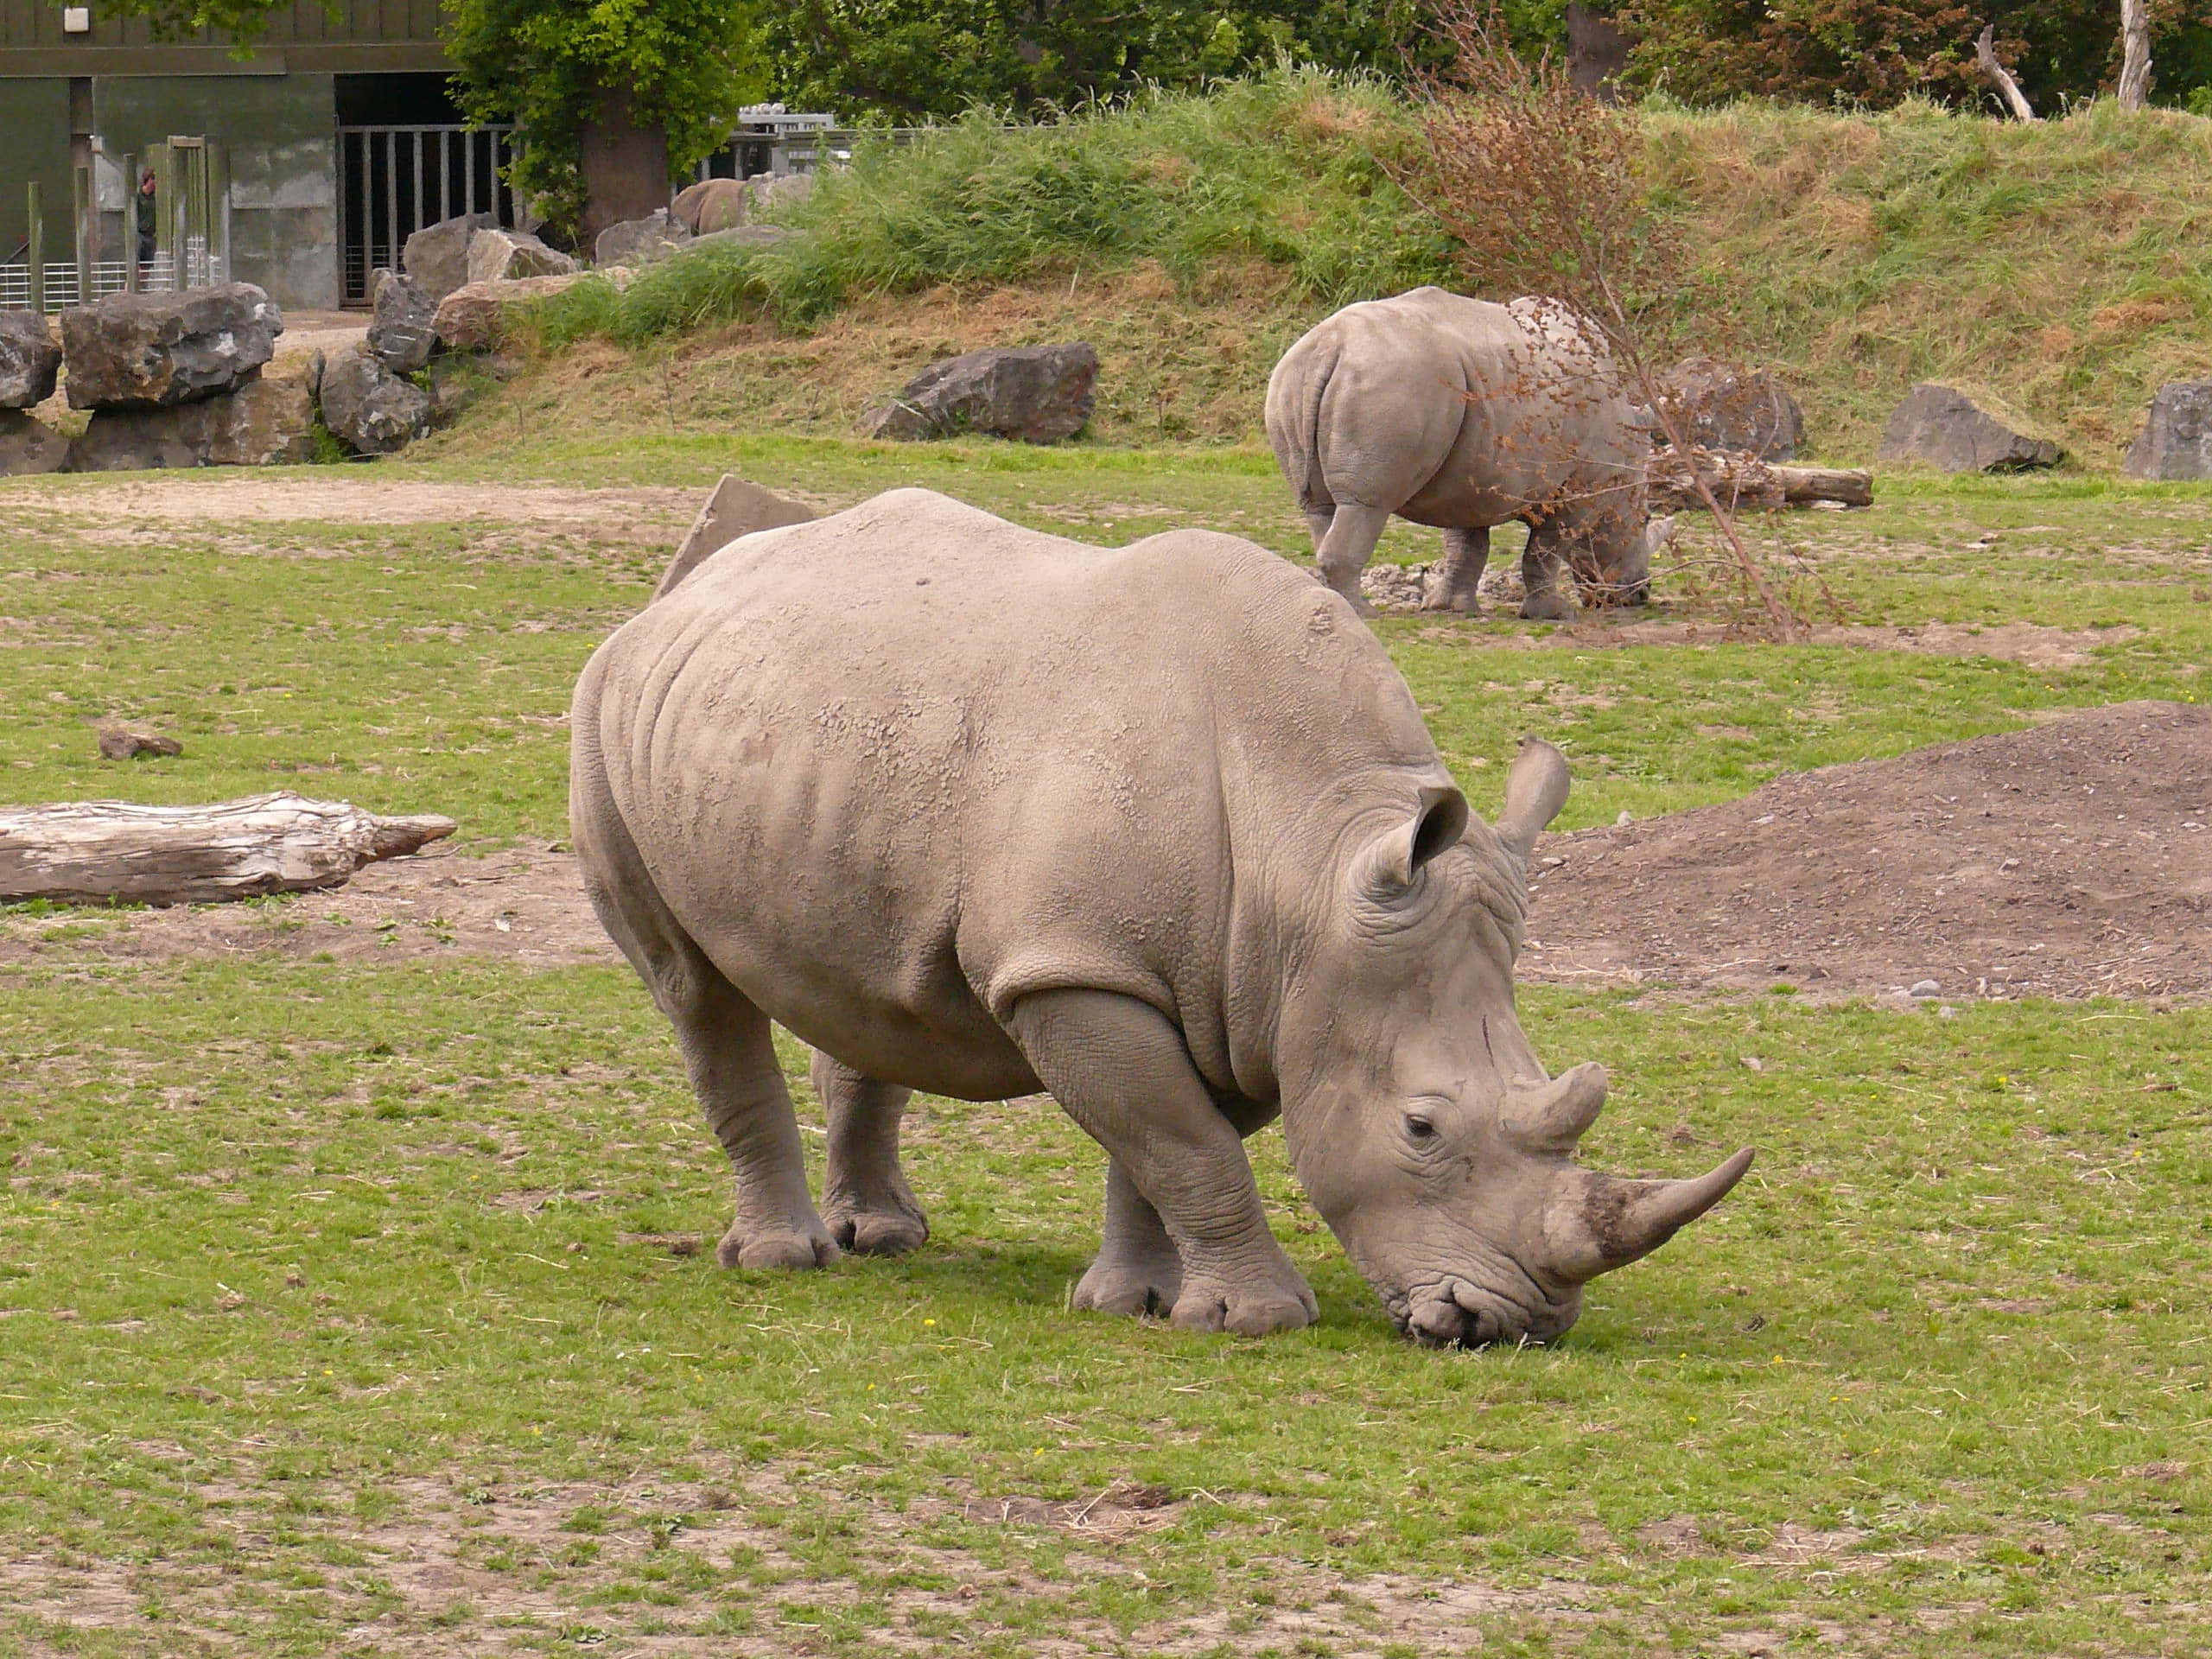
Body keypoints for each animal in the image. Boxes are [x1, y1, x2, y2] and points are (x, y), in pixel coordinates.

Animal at [570, 488, 1751, 1343]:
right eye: (1421, 1127)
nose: (1513, 1322)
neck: (1313, 850)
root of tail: (681, 591)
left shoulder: (1246, 987)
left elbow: (1162, 1145)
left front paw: (1136, 1305)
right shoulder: (1082, 968)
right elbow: (1183, 1145)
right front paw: (1258, 1321)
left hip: (816, 742)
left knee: (862, 985)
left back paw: (884, 1239)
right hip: (600, 711)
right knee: (694, 991)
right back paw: (784, 1260)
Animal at [1266, 287, 1669, 619]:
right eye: (1645, 519)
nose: (1641, 595)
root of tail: (1329, 347)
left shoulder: (1473, 475)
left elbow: (1468, 545)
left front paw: (1453, 609)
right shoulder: (1577, 490)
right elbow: (1545, 550)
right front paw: (1554, 614)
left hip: (1291, 380)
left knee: (1320, 508)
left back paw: (1334, 603)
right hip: (1391, 383)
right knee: (1365, 505)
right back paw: (1364, 613)